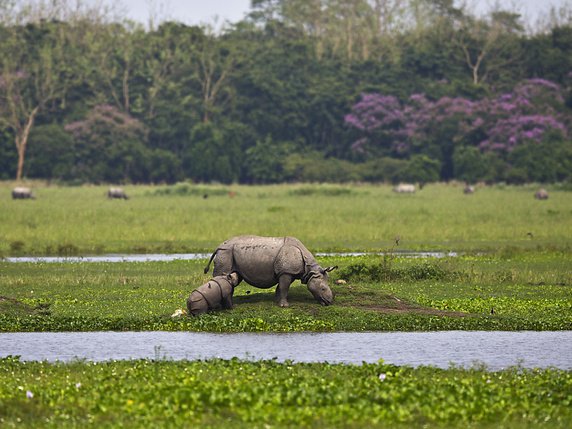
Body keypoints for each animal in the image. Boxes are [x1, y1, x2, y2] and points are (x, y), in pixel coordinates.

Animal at [204, 236, 336, 306]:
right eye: (322, 288)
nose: (329, 302)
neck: (310, 269)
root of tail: (219, 246)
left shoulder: (288, 271)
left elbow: (280, 288)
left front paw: (277, 302)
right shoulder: (286, 272)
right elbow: (284, 287)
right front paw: (285, 306)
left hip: (230, 252)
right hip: (225, 252)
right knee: (222, 275)